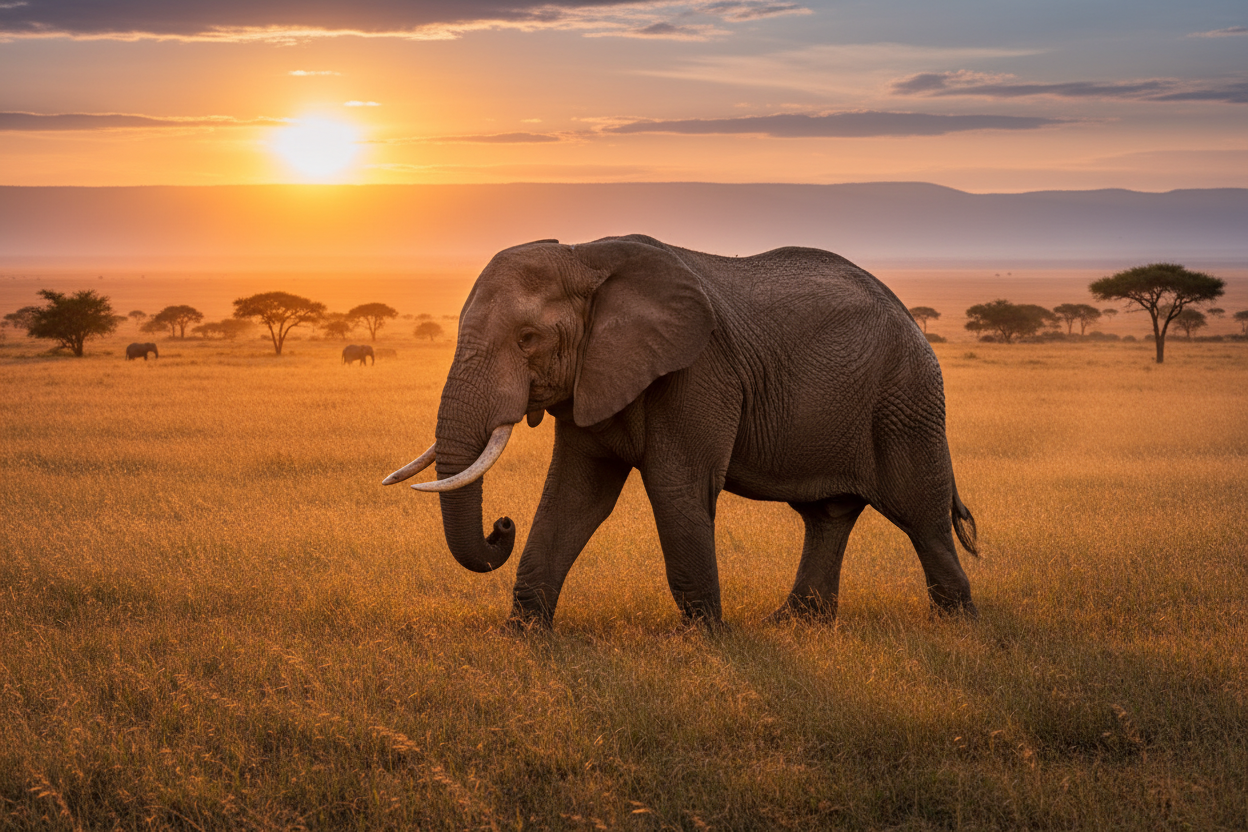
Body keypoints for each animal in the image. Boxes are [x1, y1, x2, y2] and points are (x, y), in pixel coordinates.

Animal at [384, 235, 978, 629]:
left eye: (528, 338)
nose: (500, 525)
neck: (586, 256)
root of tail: (908, 314)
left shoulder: (697, 371)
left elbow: (677, 488)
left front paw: (708, 640)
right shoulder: (594, 377)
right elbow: (575, 495)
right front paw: (524, 636)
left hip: (906, 401)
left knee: (920, 514)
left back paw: (956, 627)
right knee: (827, 516)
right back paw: (793, 624)